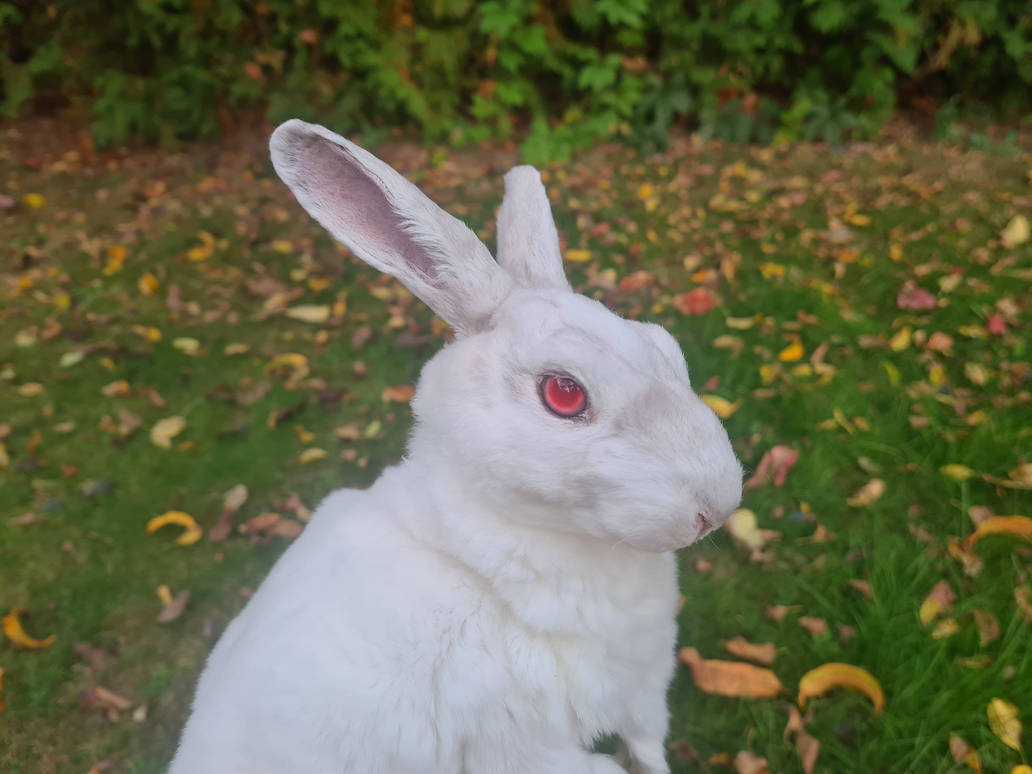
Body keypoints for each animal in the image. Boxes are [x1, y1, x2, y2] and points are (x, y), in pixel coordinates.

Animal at [169, 119, 743, 774]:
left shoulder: (643, 702)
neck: (481, 561)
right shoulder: (527, 752)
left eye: (666, 346)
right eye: (564, 393)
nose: (717, 505)